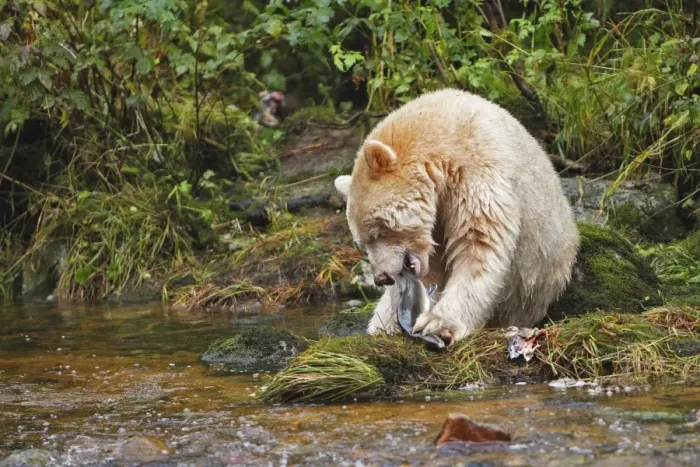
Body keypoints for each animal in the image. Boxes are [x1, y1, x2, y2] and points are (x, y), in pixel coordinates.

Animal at [334, 88, 580, 344]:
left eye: (379, 231)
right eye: (361, 243)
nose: (382, 278)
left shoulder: (478, 172)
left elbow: (479, 245)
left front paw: (436, 323)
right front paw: (388, 325)